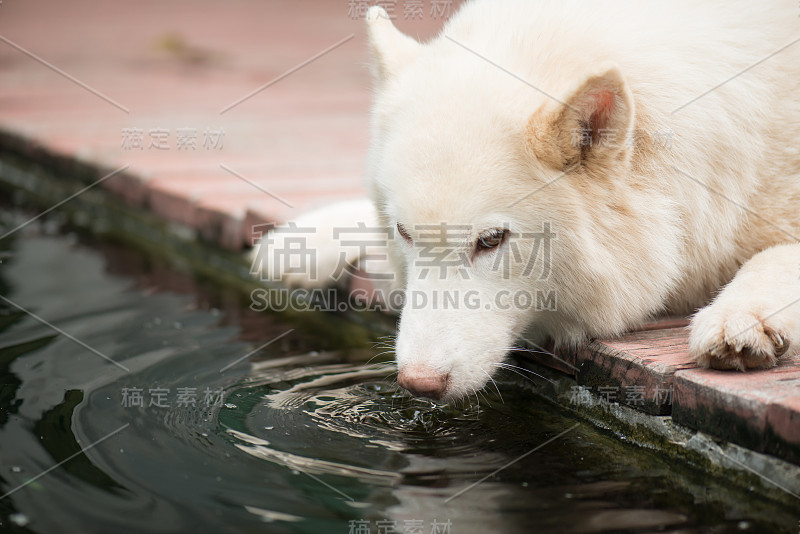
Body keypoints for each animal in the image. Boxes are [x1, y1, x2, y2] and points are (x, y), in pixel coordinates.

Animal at [255, 0, 800, 402]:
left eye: (492, 240)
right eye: (404, 233)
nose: (418, 384)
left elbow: (777, 256)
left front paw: (742, 316)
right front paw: (306, 240)